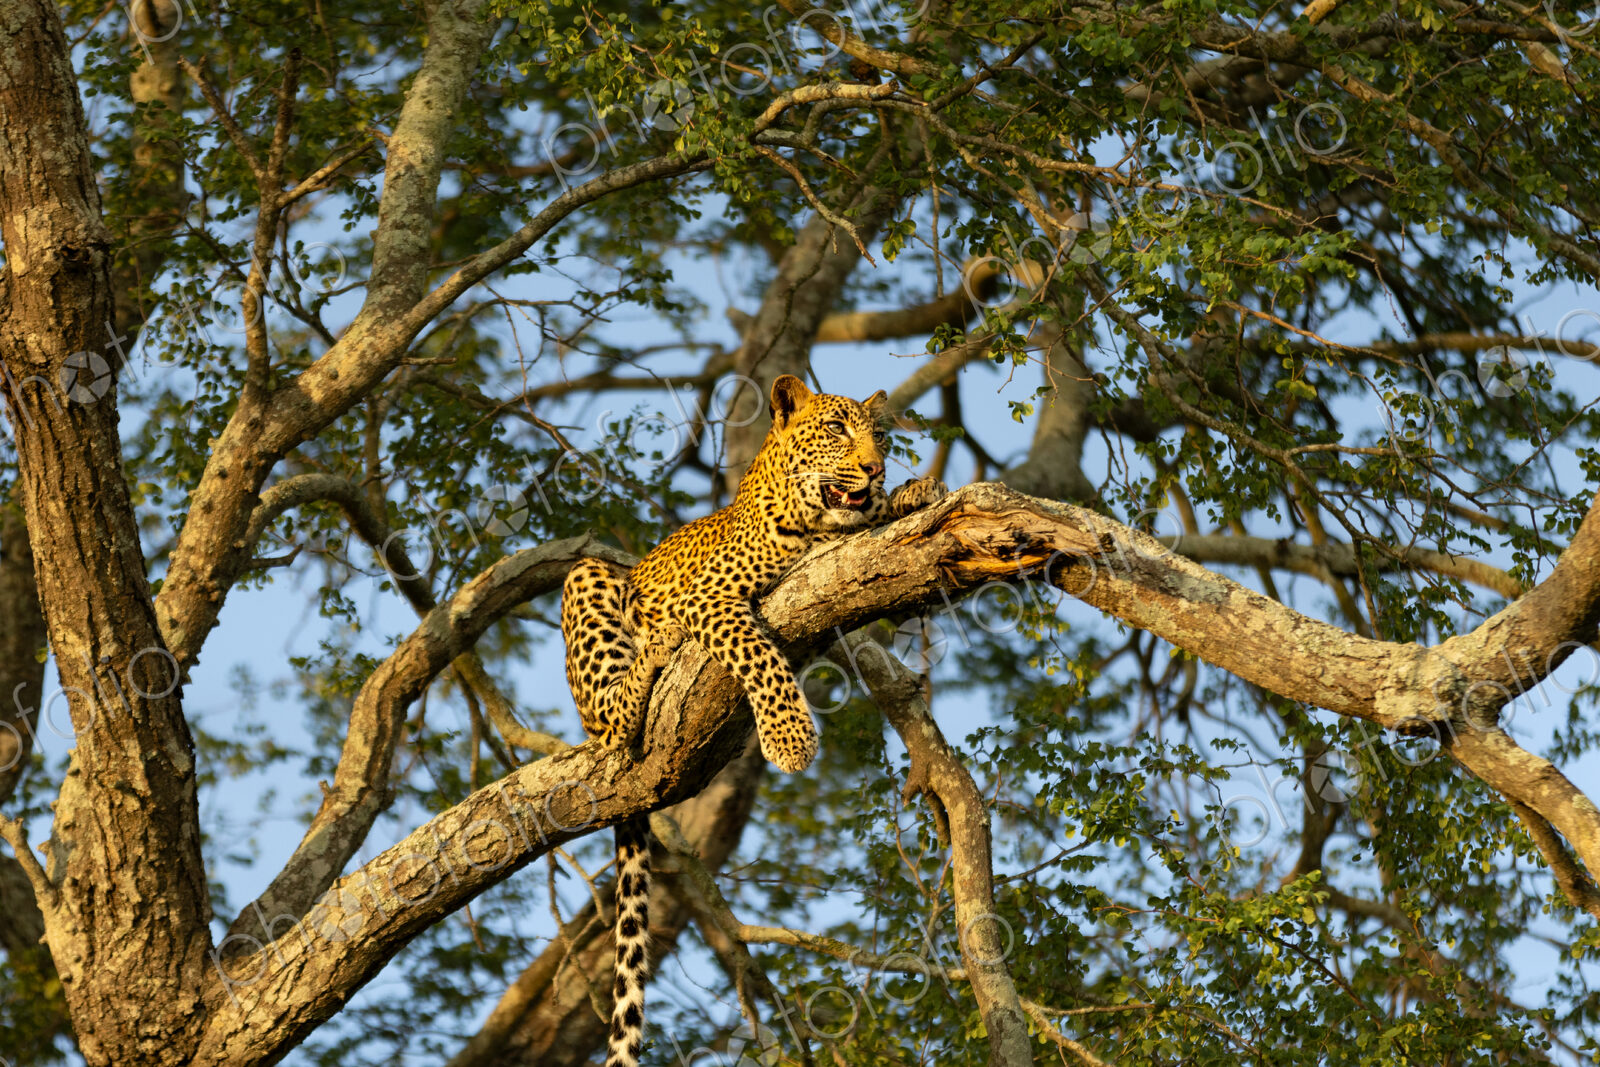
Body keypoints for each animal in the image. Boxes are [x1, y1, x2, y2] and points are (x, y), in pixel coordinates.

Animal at [560, 373, 948, 1067]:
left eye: (879, 436)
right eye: (837, 430)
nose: (875, 468)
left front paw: (911, 492)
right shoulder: (708, 598)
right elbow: (759, 653)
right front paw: (791, 740)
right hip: (591, 580)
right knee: (613, 721)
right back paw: (654, 653)